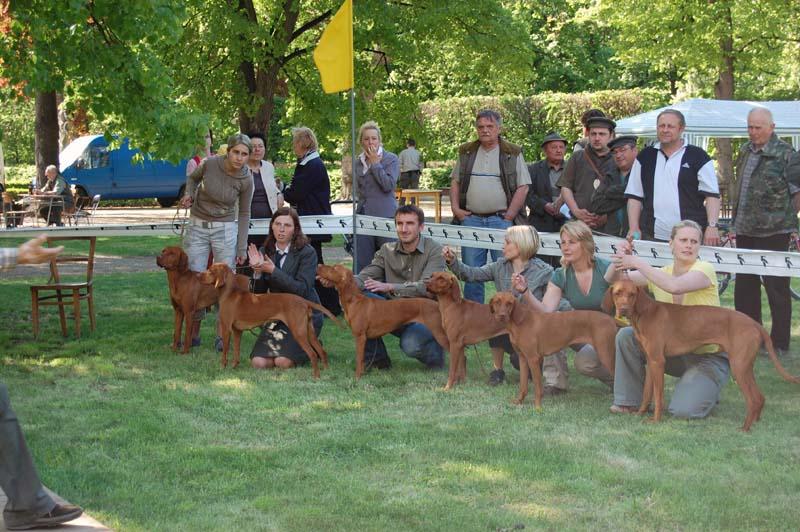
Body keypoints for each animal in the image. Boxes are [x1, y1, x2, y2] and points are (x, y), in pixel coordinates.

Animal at [203, 262, 338, 374]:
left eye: (210, 270)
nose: (199, 275)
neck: (229, 293)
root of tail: (304, 301)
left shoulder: (226, 328)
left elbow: (225, 351)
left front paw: (222, 367)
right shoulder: (237, 331)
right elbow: (236, 351)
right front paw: (234, 367)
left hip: (298, 332)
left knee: (312, 354)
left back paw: (316, 376)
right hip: (309, 332)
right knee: (322, 351)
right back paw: (326, 372)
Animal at [316, 262, 450, 378]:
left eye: (334, 268)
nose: (319, 265)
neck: (354, 300)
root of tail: (436, 305)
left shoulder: (360, 336)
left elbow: (359, 359)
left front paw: (357, 377)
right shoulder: (363, 337)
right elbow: (363, 359)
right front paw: (363, 373)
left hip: (438, 332)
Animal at [488, 294, 620, 410]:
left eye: (509, 303)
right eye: (497, 302)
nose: (502, 315)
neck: (519, 322)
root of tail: (611, 319)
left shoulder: (533, 359)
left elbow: (537, 388)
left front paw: (538, 407)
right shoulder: (523, 358)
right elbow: (523, 385)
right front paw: (519, 401)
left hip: (606, 354)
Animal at [608, 276, 800, 430]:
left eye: (632, 294)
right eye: (617, 293)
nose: (623, 310)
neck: (645, 312)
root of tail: (755, 324)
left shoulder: (658, 361)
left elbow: (658, 395)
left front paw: (655, 420)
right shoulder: (651, 361)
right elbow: (647, 393)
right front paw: (640, 413)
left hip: (738, 367)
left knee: (753, 399)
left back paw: (745, 429)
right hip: (745, 366)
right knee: (760, 397)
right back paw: (755, 423)